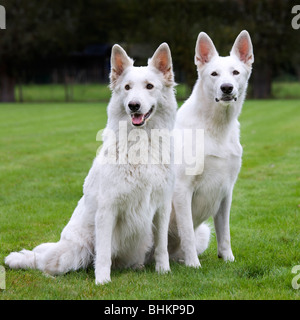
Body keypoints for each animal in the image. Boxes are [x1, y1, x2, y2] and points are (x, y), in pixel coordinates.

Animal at [5, 42, 178, 284]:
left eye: (149, 86)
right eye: (127, 87)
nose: (134, 105)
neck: (140, 145)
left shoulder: (162, 208)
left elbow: (162, 246)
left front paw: (164, 271)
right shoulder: (107, 210)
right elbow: (103, 253)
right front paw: (102, 281)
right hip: (72, 253)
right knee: (43, 262)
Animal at [168, 30, 254, 266]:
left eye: (235, 72)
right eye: (214, 74)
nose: (227, 88)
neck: (215, 127)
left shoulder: (226, 191)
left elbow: (225, 233)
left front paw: (228, 258)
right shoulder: (182, 189)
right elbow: (187, 232)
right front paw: (193, 264)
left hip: (204, 233)